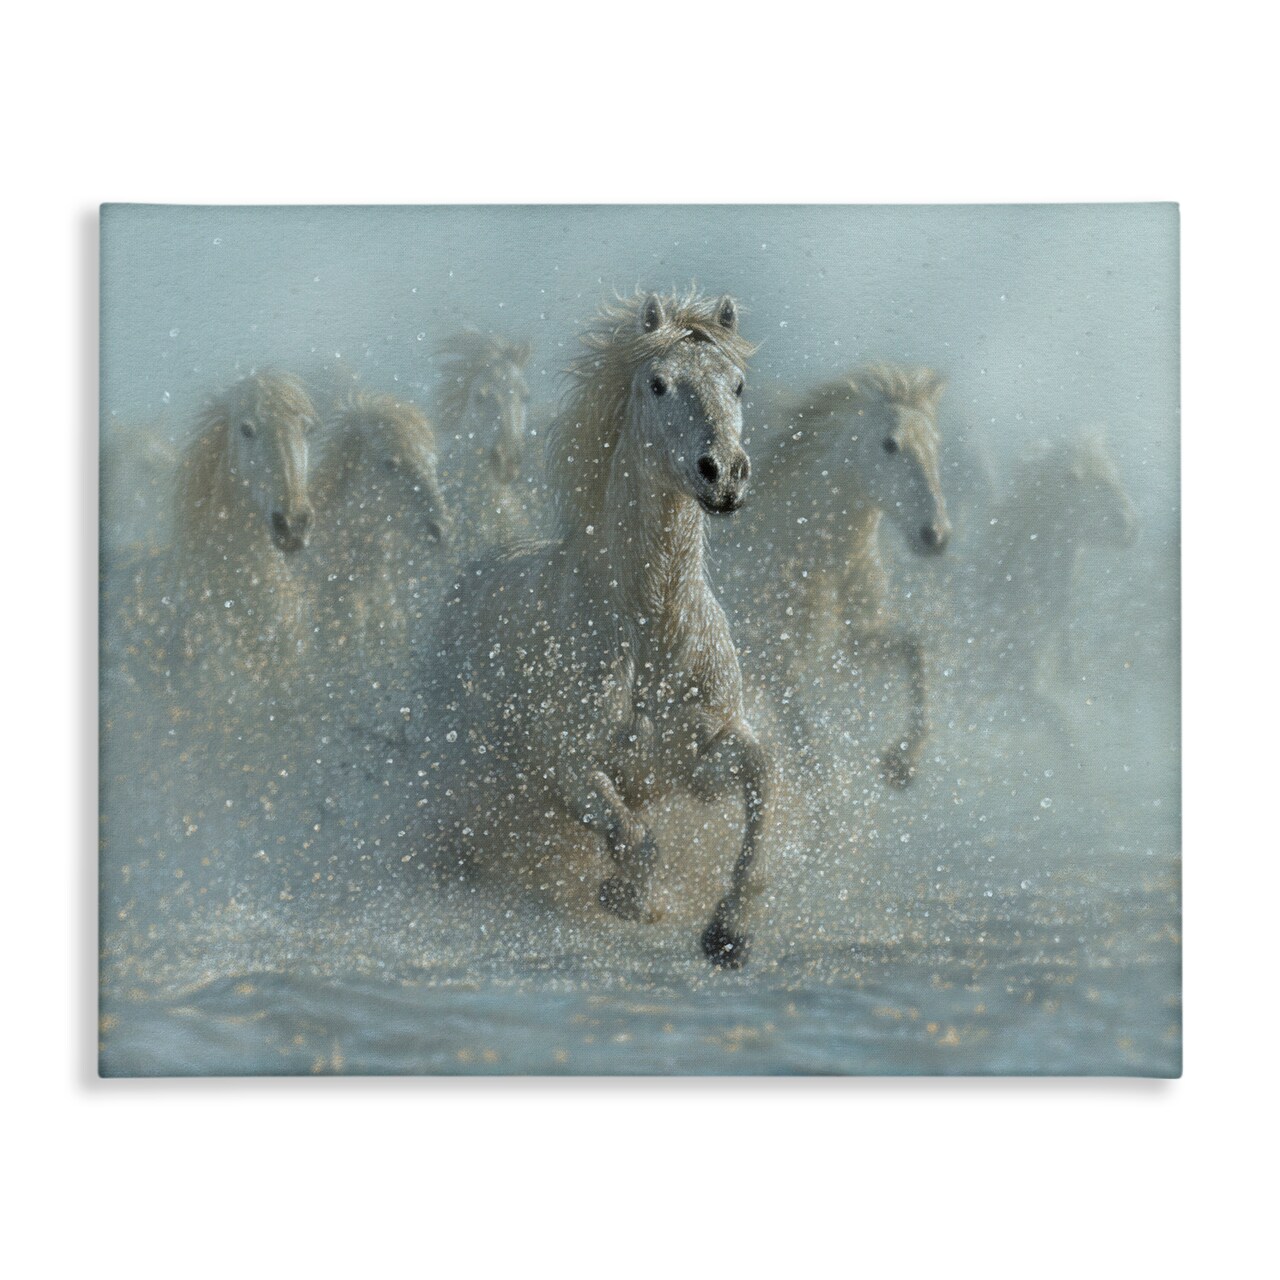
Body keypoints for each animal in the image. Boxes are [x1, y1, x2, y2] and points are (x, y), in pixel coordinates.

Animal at [718, 364, 951, 786]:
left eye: (936, 445)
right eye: (890, 444)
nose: (935, 536)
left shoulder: (854, 642)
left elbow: (915, 648)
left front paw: (902, 762)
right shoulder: (773, 664)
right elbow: (811, 759)